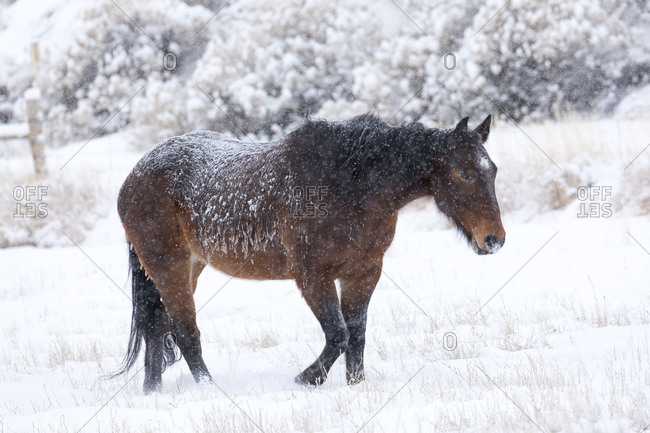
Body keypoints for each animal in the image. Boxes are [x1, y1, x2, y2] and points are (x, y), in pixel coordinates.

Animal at [111, 114, 505, 393]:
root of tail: (134, 175)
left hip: (186, 266)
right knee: (184, 332)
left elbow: (356, 335)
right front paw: (307, 379)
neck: (350, 184)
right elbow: (338, 334)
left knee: (157, 325)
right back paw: (208, 390)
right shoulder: (312, 276)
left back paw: (153, 391)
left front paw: (355, 387)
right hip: (169, 266)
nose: (494, 239)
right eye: (464, 172)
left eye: (493, 171)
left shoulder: (363, 273)